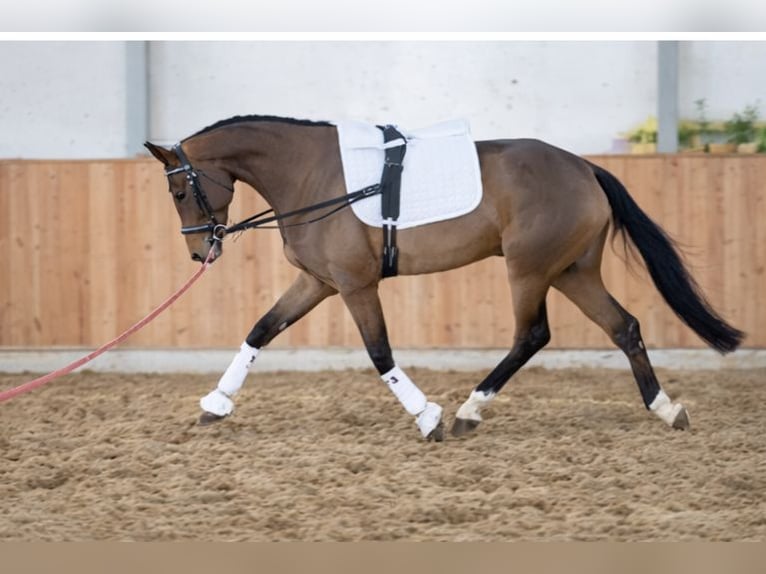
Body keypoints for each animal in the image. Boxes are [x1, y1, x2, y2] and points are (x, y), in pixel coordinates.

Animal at [144, 114, 744, 441]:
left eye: (177, 190)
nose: (199, 251)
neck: (314, 176)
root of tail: (583, 167)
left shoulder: (355, 284)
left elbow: (380, 353)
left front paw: (427, 417)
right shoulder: (320, 281)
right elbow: (261, 331)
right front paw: (215, 405)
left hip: (528, 270)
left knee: (532, 335)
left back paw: (467, 412)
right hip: (572, 271)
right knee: (624, 327)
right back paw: (666, 409)